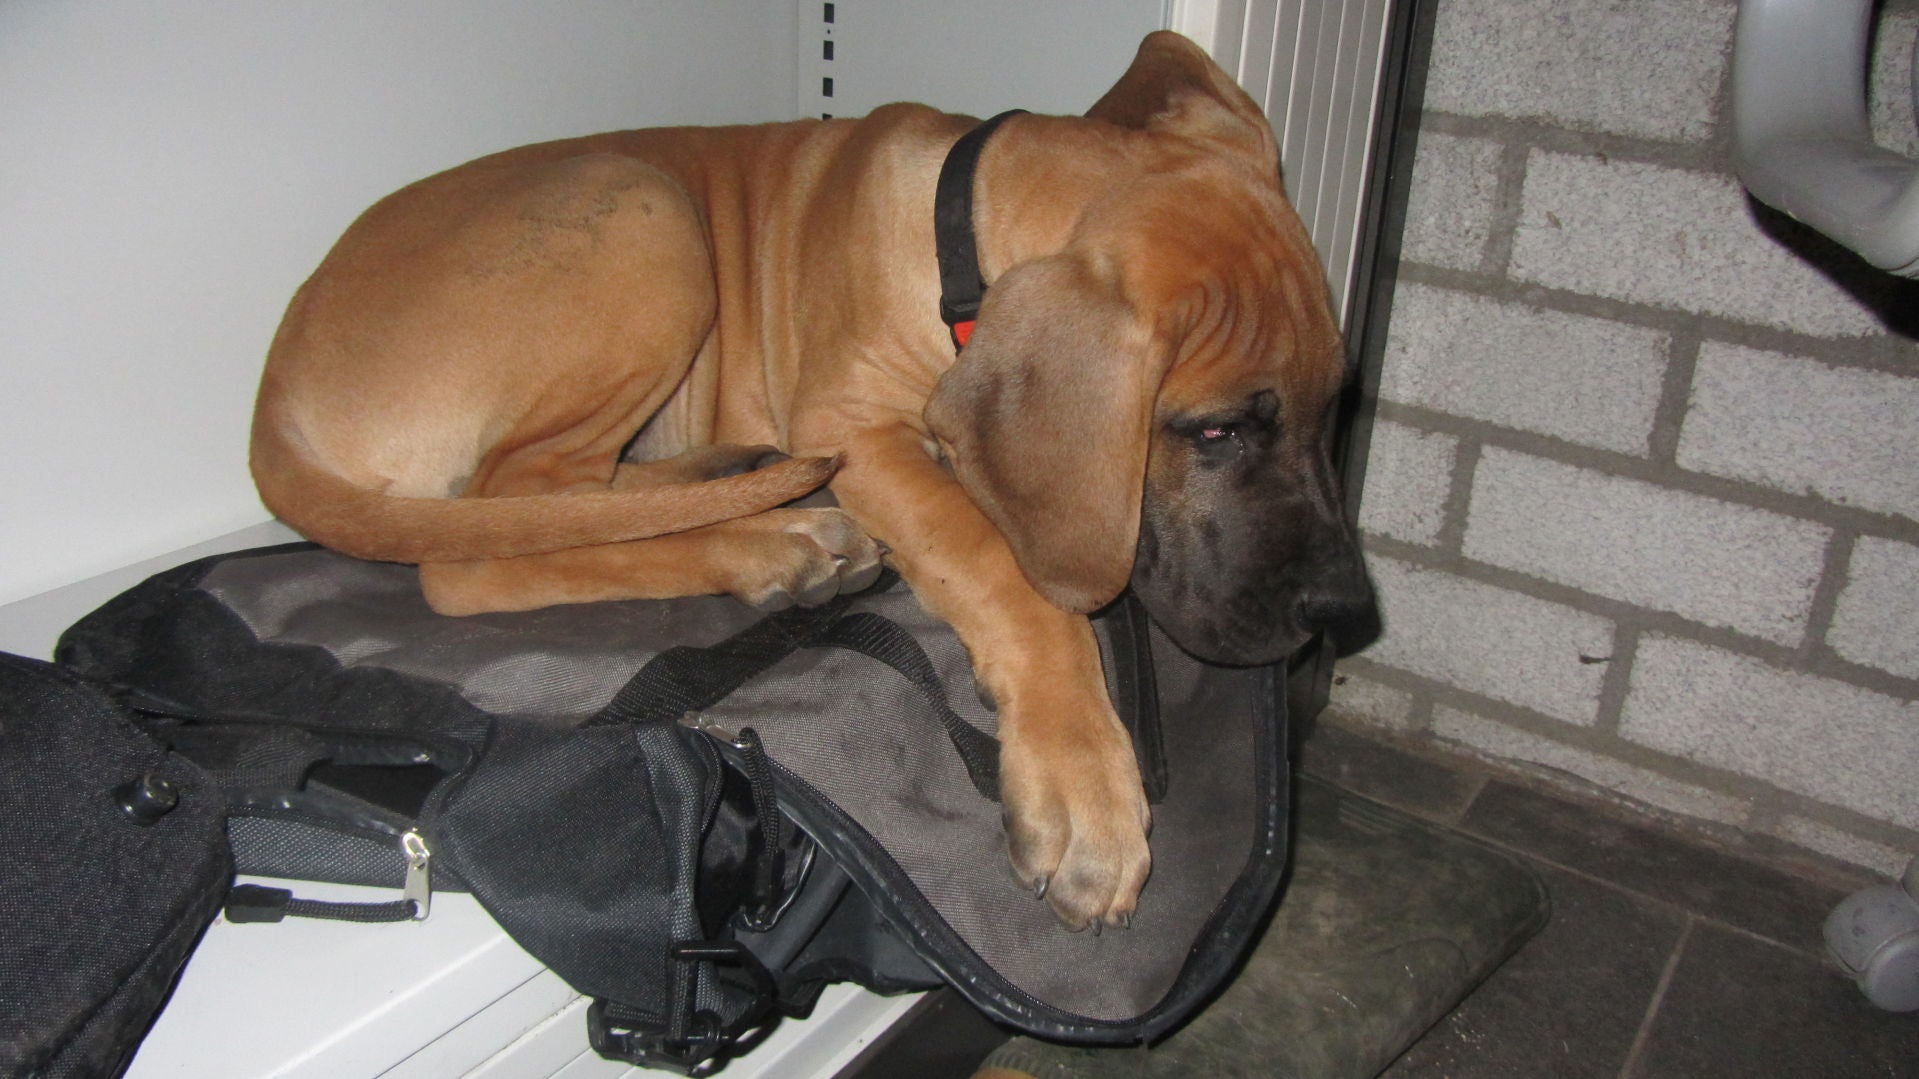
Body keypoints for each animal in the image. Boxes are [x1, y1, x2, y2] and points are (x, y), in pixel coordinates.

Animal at [250, 31, 1378, 931]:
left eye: (1334, 405)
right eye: (1215, 429)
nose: (1341, 616)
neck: (956, 249)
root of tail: (277, 388)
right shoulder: (855, 426)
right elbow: (1000, 564)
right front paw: (1081, 779)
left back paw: (748, 487)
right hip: (647, 214)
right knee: (489, 539)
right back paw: (777, 535)